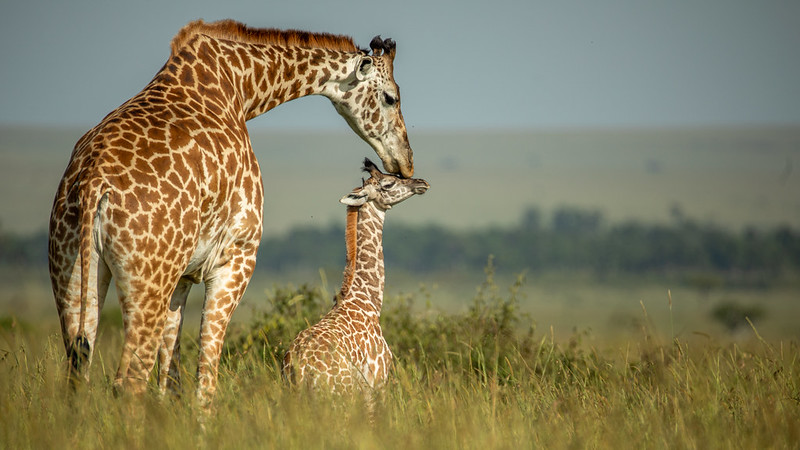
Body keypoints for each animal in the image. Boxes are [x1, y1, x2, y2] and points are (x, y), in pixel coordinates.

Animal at [46, 18, 412, 404]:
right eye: (391, 97)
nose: (406, 162)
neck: (240, 87)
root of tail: (93, 185)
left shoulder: (183, 275)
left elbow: (171, 375)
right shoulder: (235, 257)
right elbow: (205, 377)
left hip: (73, 272)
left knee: (79, 372)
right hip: (148, 279)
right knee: (129, 383)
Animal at [282, 158, 432, 394]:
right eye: (389, 183)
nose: (422, 182)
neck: (367, 299)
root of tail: (300, 371)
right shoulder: (378, 381)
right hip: (343, 392)